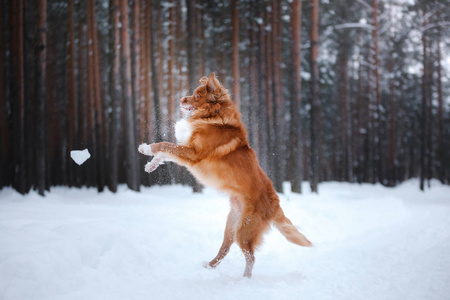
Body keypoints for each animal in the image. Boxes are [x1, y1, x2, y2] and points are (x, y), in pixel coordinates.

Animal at [139, 73, 312, 278]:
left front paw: (145, 148)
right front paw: (151, 165)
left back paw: (244, 279)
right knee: (225, 249)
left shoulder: (193, 154)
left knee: (251, 257)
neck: (213, 115)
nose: (181, 99)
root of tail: (275, 204)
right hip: (231, 226)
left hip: (243, 231)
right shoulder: (187, 152)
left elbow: (164, 145)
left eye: (197, 96)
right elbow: (165, 152)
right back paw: (209, 266)